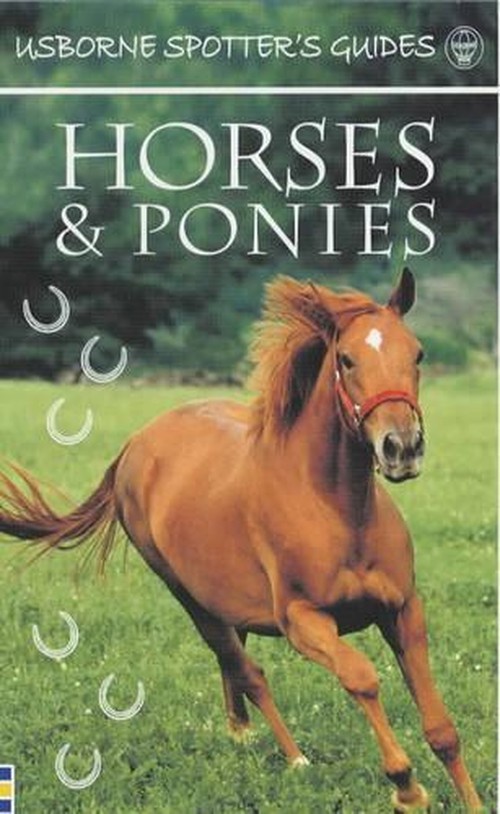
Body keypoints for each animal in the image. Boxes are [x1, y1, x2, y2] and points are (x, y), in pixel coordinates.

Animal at [0, 269, 481, 812]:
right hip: (189, 596)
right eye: (347, 359)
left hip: (224, 597)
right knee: (244, 667)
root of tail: (133, 445)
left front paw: (471, 801)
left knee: (237, 659)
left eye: (416, 354)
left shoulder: (403, 609)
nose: (402, 447)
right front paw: (406, 787)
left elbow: (442, 729)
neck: (340, 511)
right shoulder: (303, 621)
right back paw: (293, 757)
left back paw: (242, 732)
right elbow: (361, 677)